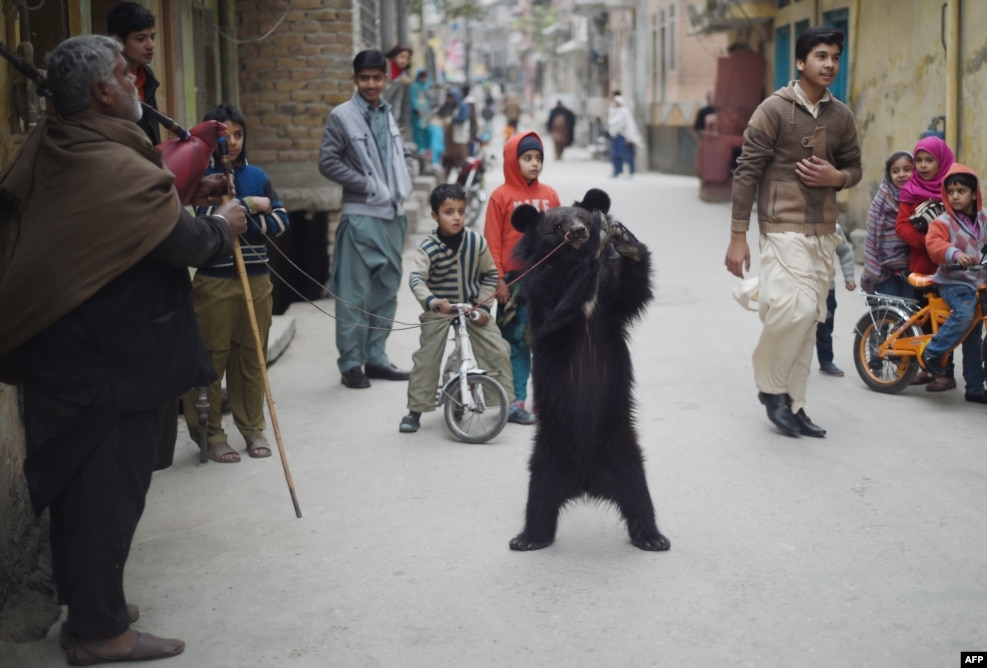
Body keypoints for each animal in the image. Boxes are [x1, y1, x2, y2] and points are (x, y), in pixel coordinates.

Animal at [507, 188, 669, 552]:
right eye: (557, 226)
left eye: (580, 216)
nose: (581, 230)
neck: (570, 262)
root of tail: (586, 482)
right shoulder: (541, 286)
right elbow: (554, 312)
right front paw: (598, 241)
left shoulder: (611, 298)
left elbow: (632, 292)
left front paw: (624, 238)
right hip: (546, 454)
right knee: (538, 498)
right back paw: (528, 538)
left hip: (625, 452)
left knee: (639, 496)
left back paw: (653, 537)